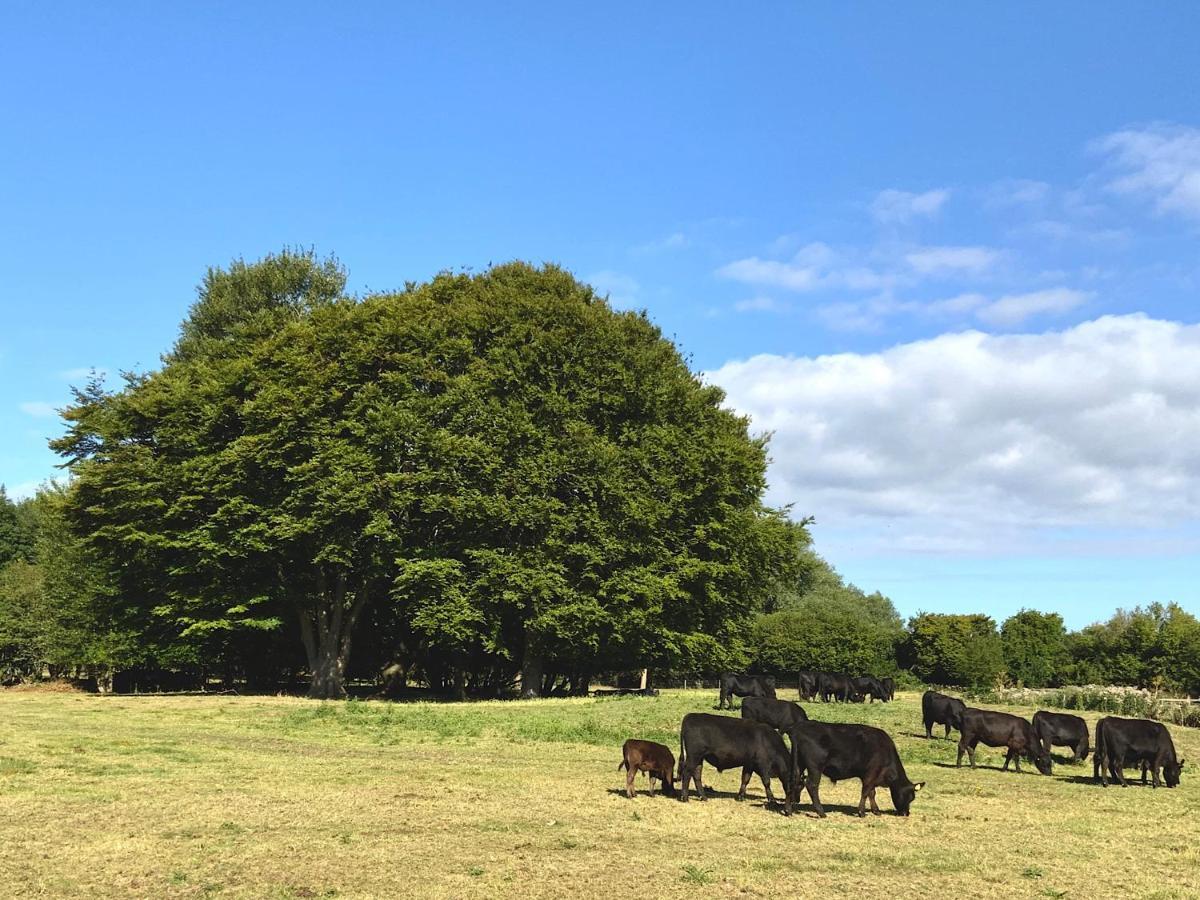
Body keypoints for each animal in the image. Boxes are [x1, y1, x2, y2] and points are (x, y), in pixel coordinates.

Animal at [787, 724, 926, 820]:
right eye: (909, 797)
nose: (906, 813)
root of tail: (799, 729)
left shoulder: (872, 777)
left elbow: (872, 793)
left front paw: (876, 811)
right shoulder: (870, 774)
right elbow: (865, 792)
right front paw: (862, 812)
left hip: (799, 765)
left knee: (793, 781)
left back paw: (788, 810)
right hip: (815, 767)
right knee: (812, 785)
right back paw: (821, 812)